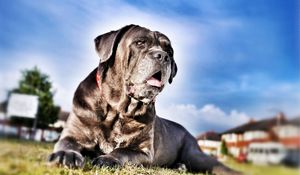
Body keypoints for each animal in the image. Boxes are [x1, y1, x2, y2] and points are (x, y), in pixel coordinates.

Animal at [48, 25, 241, 175]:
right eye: (140, 42)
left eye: (169, 50)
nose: (163, 56)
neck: (118, 110)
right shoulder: (74, 132)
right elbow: (66, 142)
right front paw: (66, 154)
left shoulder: (144, 151)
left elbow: (122, 151)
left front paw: (108, 159)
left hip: (195, 155)